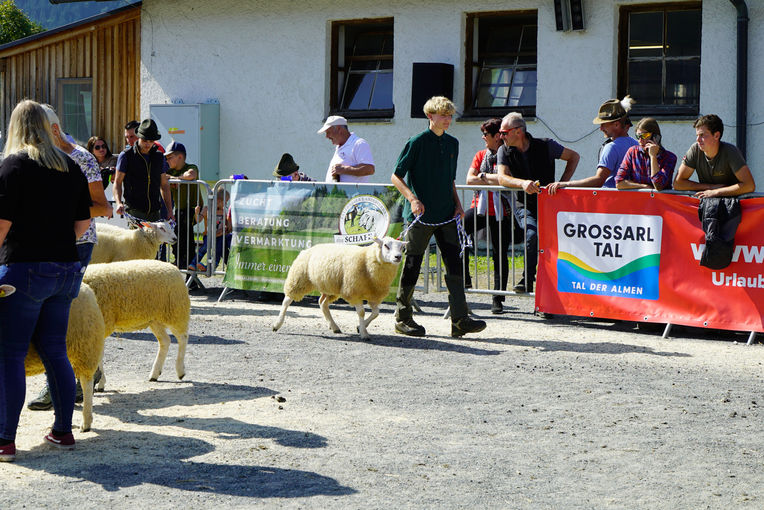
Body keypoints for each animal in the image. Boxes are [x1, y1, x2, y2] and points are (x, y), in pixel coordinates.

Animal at [81, 258, 190, 386]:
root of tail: (173, 267)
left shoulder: (103, 323)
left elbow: (99, 355)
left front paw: (100, 382)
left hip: (174, 311)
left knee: (183, 338)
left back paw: (180, 370)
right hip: (154, 319)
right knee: (165, 340)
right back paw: (155, 373)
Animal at [274, 237, 406, 340]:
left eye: (401, 247)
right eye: (386, 245)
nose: (398, 257)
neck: (367, 260)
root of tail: (309, 249)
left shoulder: (373, 295)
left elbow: (376, 313)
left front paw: (360, 327)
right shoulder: (354, 292)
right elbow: (362, 312)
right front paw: (364, 333)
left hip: (329, 287)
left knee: (322, 303)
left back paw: (334, 327)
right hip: (299, 279)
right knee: (287, 300)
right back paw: (277, 324)